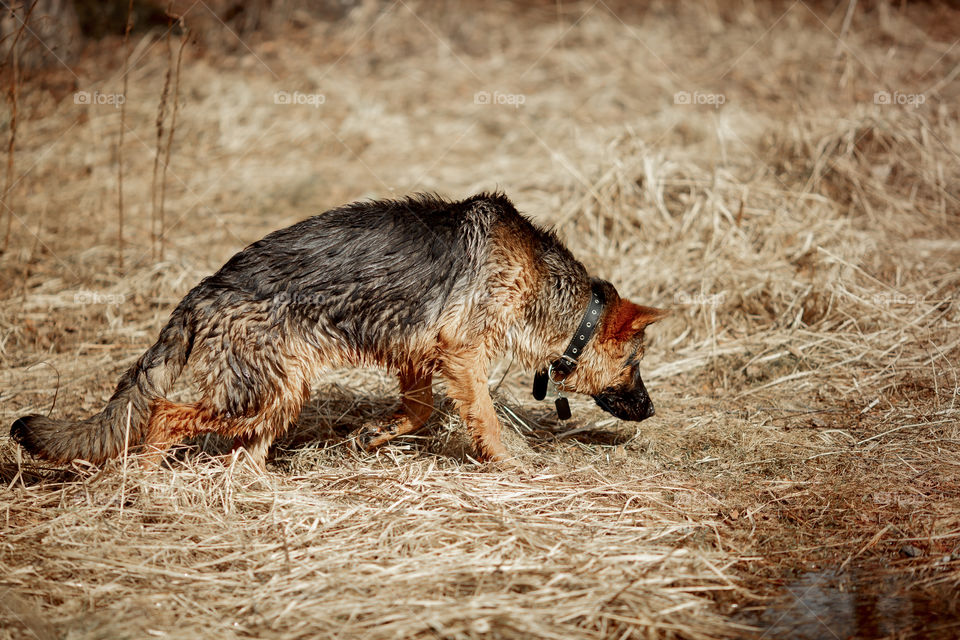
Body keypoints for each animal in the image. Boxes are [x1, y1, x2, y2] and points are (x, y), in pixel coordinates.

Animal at [9, 192, 668, 468]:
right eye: (635, 366)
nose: (652, 410)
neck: (541, 285)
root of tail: (205, 289)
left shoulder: (419, 357)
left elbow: (419, 412)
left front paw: (374, 436)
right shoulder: (463, 357)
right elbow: (482, 417)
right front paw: (509, 466)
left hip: (280, 397)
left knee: (241, 454)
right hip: (259, 395)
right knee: (165, 416)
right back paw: (147, 481)